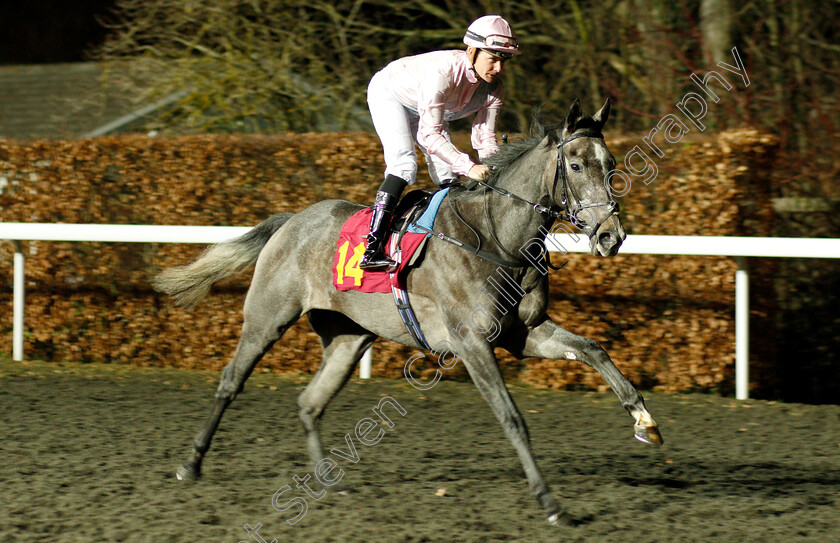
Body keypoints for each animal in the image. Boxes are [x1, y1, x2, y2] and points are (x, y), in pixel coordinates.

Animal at [151, 99, 664, 528]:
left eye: (610, 164)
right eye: (575, 164)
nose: (611, 235)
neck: (498, 239)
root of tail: (291, 220)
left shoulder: (523, 334)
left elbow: (593, 349)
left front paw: (645, 421)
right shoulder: (470, 342)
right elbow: (512, 417)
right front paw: (551, 502)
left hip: (348, 337)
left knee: (310, 403)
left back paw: (324, 480)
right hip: (266, 320)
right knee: (230, 382)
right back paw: (190, 464)